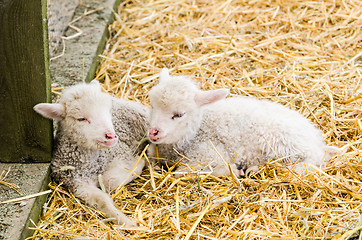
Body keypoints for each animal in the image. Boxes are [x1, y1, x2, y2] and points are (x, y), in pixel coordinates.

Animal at [33, 80, 148, 225]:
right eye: (81, 118)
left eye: (107, 111)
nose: (111, 136)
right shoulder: (78, 185)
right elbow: (102, 199)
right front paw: (127, 223)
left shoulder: (122, 153)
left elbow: (108, 179)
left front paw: (139, 163)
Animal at [147, 68, 340, 177]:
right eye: (152, 105)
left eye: (179, 114)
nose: (153, 132)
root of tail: (317, 140)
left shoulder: (206, 153)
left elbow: (182, 173)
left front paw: (233, 170)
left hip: (283, 142)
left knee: (310, 162)